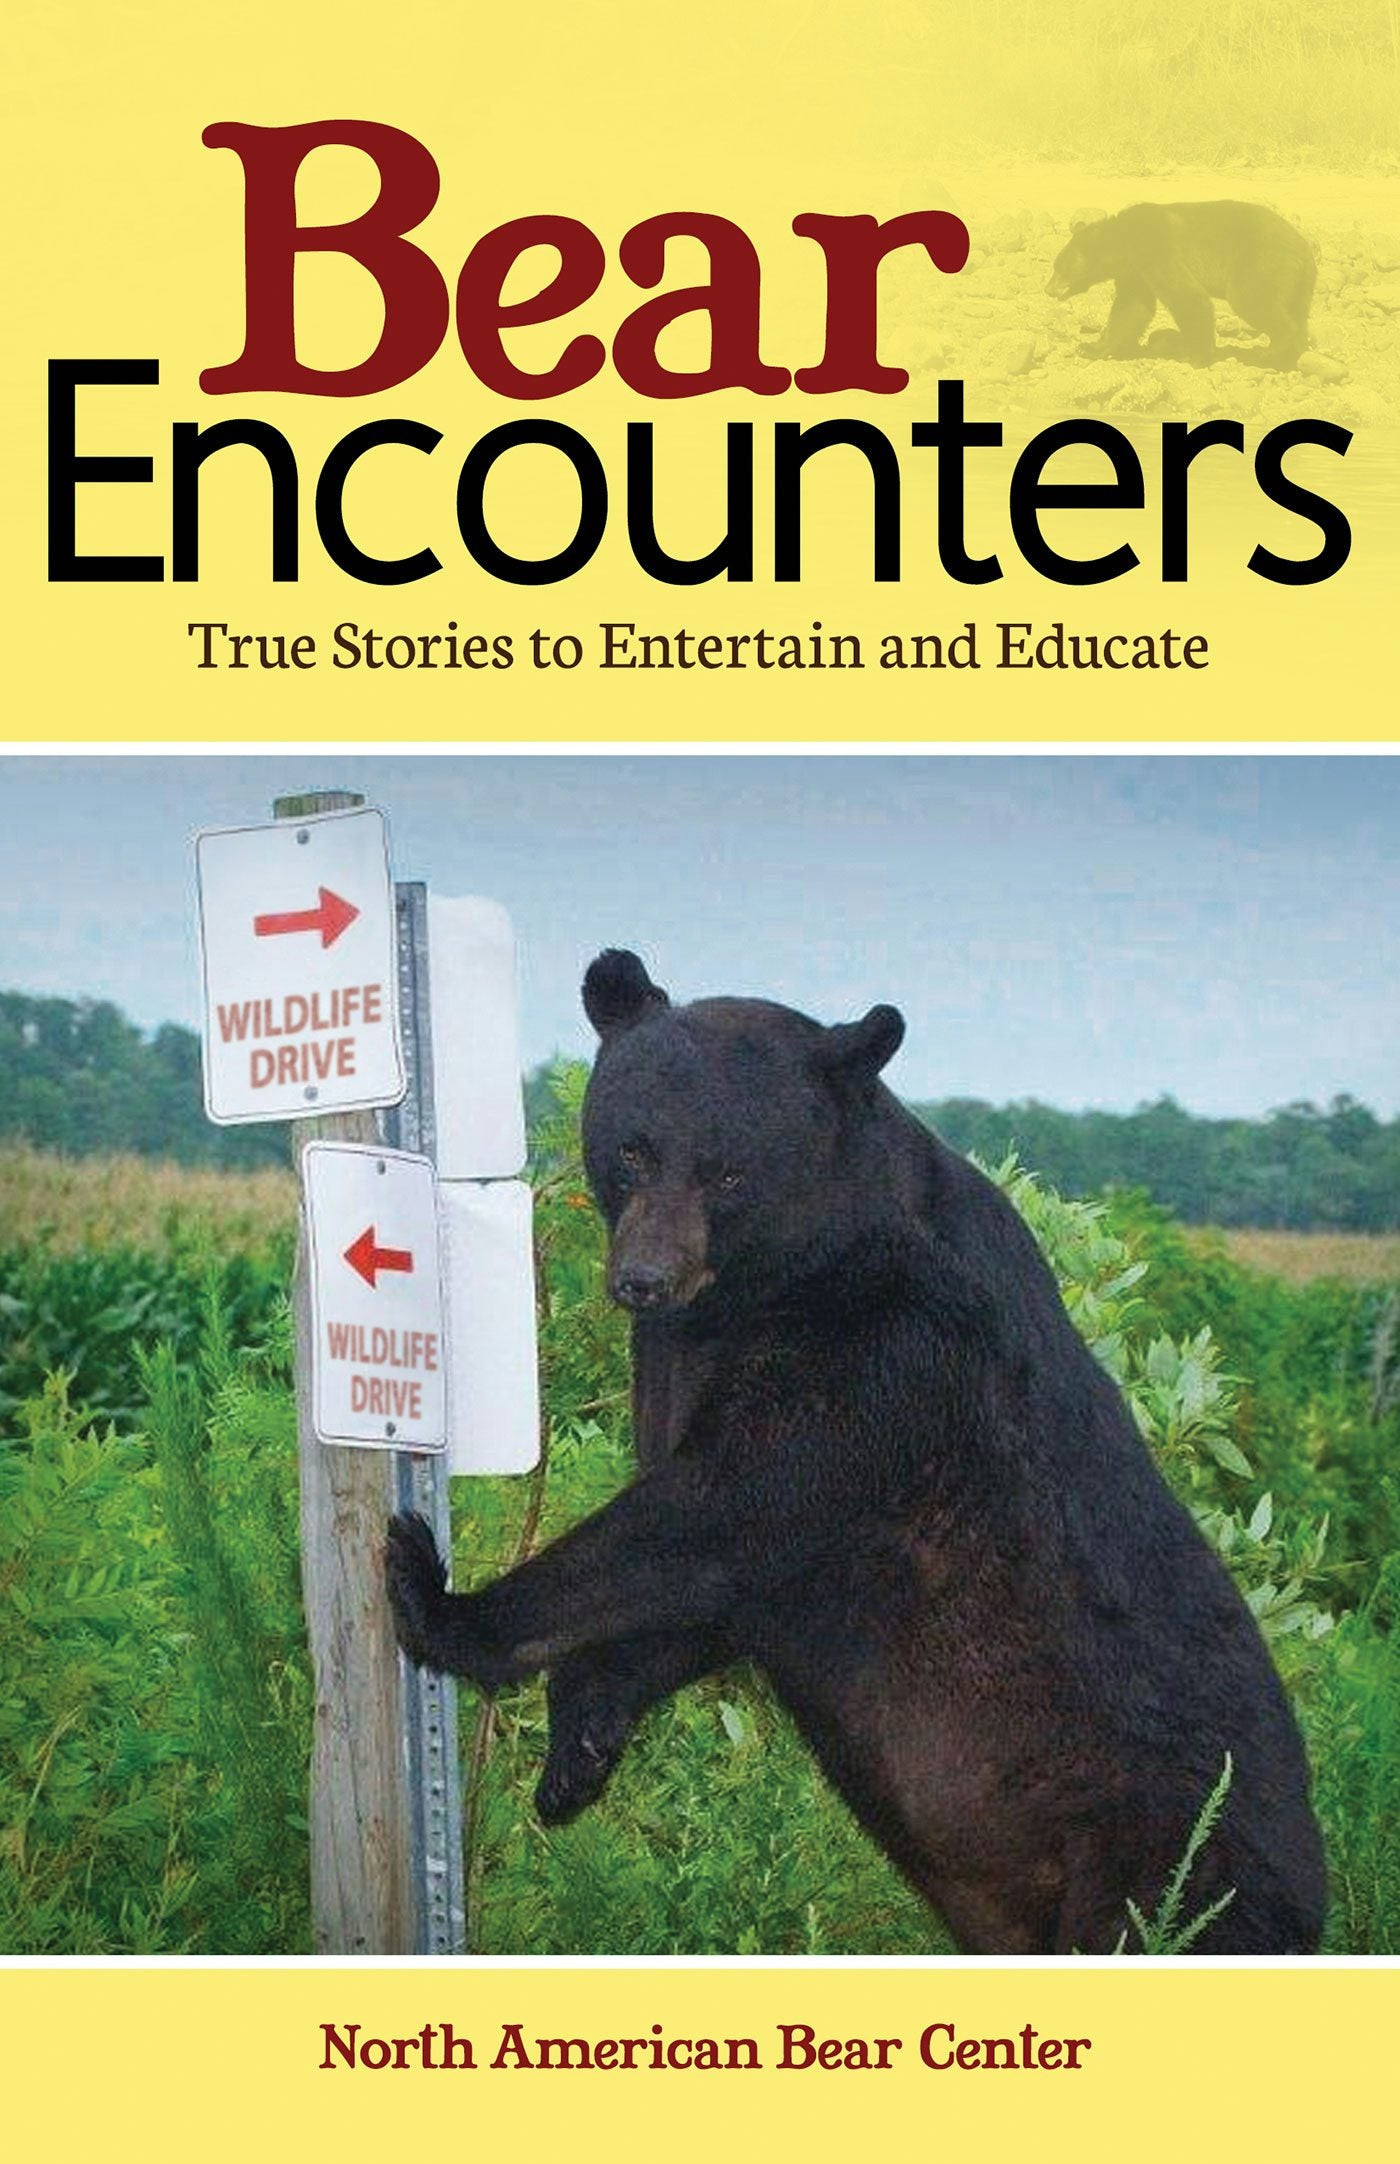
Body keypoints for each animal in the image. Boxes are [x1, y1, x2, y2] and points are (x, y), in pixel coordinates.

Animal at [385, 948, 1327, 1954]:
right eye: (632, 1147)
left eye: (729, 1172)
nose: (643, 1280)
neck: (775, 1279)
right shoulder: (695, 1368)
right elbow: (721, 1589)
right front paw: (580, 1747)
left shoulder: (886, 1358)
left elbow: (717, 1512)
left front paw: (435, 1595)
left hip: (1155, 1864)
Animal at [1045, 202, 1316, 370]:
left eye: (1058, 267)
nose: (1048, 289)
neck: (1127, 242)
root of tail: (1304, 249)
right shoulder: (1136, 271)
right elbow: (1131, 308)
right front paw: (1091, 347)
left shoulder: (1159, 251)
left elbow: (1188, 298)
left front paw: (1196, 356)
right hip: (1300, 284)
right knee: (1297, 313)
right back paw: (1292, 355)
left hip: (1261, 260)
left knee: (1251, 299)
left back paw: (1268, 352)